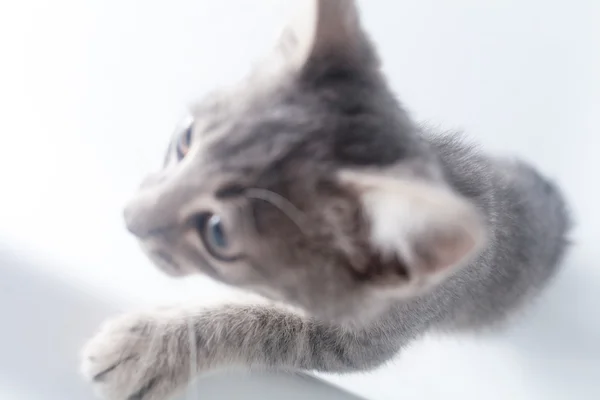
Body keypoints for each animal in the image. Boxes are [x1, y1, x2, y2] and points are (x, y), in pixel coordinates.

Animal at [82, 1, 568, 398]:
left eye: (217, 232)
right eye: (184, 140)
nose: (130, 218)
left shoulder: (358, 343)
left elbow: (267, 326)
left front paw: (153, 344)